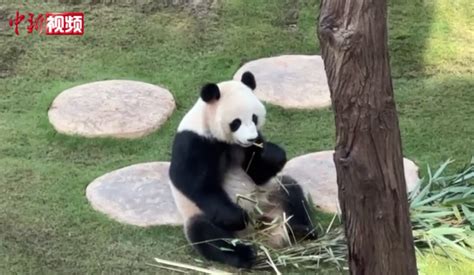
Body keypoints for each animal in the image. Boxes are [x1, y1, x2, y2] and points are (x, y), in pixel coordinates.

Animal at [168, 71, 316, 270]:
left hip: (270, 194)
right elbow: (195, 183)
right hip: (201, 214)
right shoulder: (194, 141)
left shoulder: (252, 146)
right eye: (236, 122)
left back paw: (301, 230)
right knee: (207, 233)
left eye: (254, 118)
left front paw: (273, 154)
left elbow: (259, 173)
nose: (251, 138)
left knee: (291, 192)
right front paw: (237, 217)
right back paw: (245, 254)